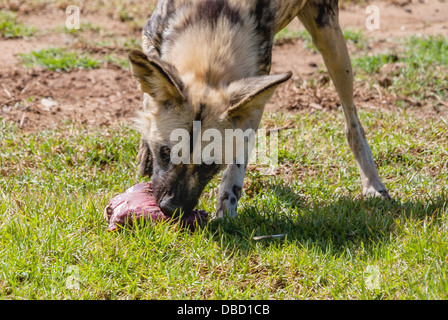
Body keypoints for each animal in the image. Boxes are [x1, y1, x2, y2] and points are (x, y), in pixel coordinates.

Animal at [128, 0, 390, 219]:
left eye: (210, 165)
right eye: (165, 152)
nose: (171, 208)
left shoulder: (253, 101)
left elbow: (237, 166)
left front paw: (226, 210)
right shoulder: (151, 38)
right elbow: (149, 99)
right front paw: (146, 147)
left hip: (332, 45)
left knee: (353, 123)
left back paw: (373, 184)